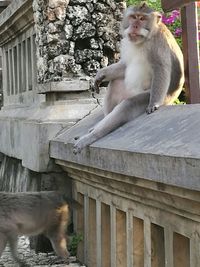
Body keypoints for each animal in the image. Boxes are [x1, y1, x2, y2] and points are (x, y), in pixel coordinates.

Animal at [73, 2, 184, 154]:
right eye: (133, 17)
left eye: (142, 19)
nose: (135, 26)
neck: (145, 39)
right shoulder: (126, 42)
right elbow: (124, 66)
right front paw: (101, 74)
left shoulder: (158, 44)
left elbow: (161, 69)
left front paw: (154, 103)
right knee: (115, 83)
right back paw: (98, 125)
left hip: (151, 96)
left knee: (128, 104)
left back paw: (92, 136)